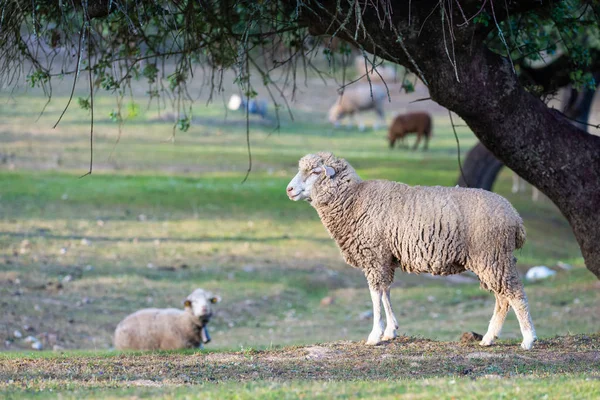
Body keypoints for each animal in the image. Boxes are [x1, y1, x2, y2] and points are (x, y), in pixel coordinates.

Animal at [288, 153, 536, 350]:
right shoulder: (385, 257)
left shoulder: (374, 256)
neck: (354, 200)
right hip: (493, 259)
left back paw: (528, 339)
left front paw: (374, 335)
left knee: (515, 294)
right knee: (502, 299)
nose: (289, 189)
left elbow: (375, 295)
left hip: (491, 255)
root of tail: (516, 217)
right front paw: (391, 331)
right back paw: (488, 338)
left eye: (315, 171)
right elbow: (386, 292)